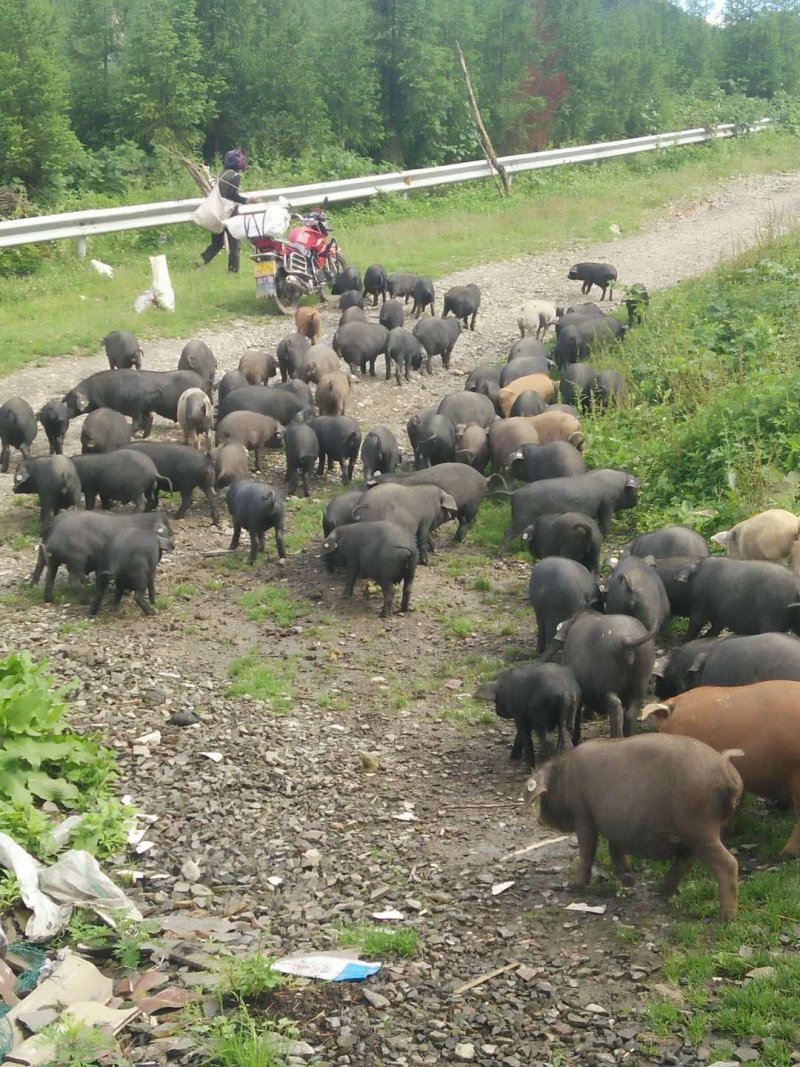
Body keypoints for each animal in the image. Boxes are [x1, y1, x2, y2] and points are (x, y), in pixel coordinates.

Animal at [526, 738, 746, 921]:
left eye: (545, 796)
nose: (538, 819)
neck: (564, 776)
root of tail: (731, 778)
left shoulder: (583, 813)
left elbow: (587, 849)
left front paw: (573, 886)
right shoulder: (614, 823)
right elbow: (614, 849)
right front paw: (629, 880)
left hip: (699, 828)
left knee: (728, 864)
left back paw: (725, 919)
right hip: (691, 833)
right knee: (685, 861)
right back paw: (659, 890)